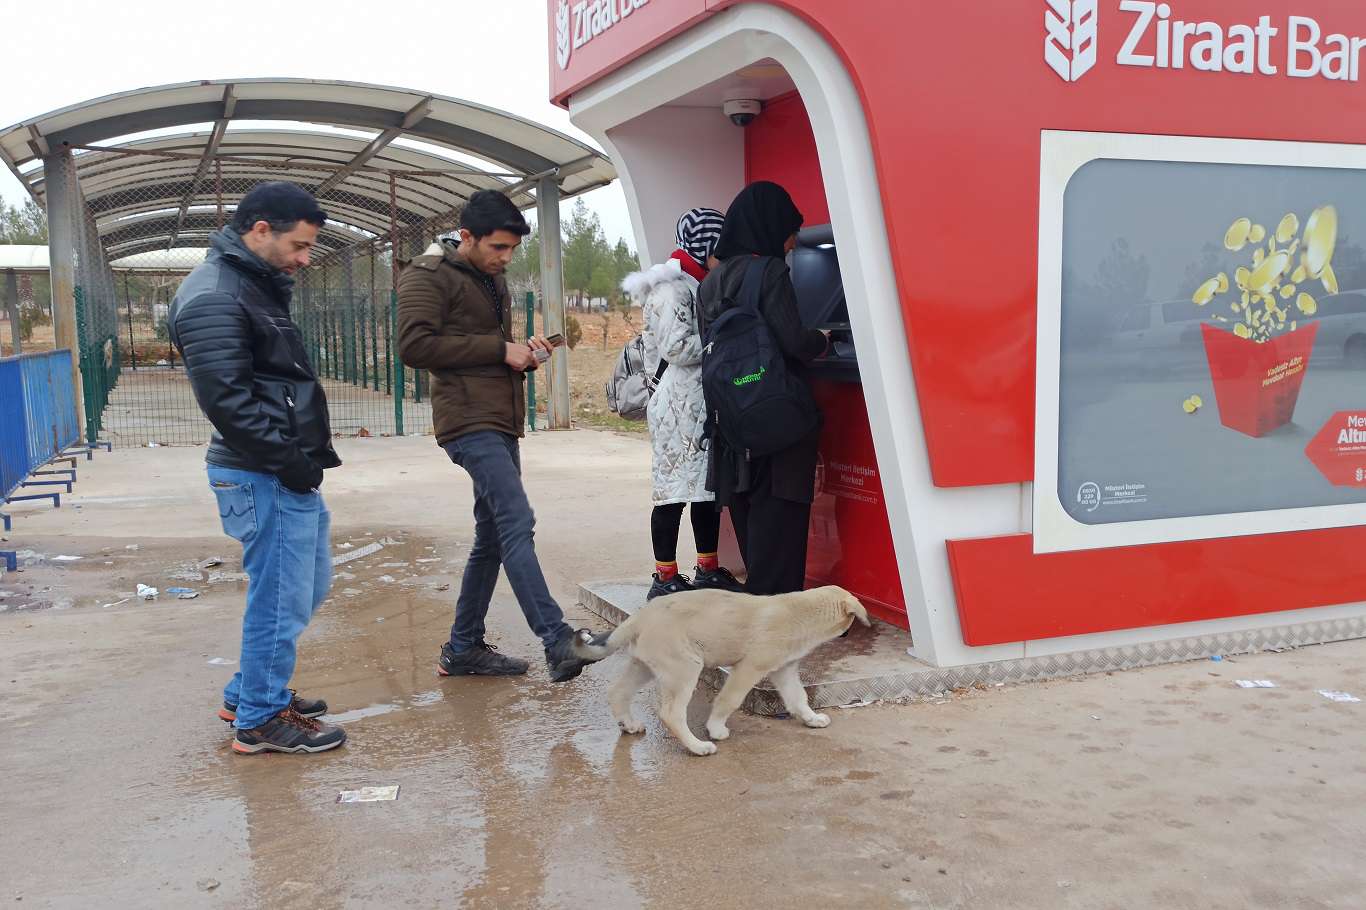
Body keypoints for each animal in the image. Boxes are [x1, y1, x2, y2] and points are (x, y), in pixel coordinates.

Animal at [572, 585, 870, 756]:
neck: (800, 612)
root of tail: (640, 616)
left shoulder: (784, 670)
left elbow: (799, 698)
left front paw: (811, 719)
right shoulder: (748, 668)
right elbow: (729, 700)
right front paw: (715, 728)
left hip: (646, 665)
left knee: (617, 692)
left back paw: (629, 724)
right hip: (684, 668)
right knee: (671, 713)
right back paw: (697, 747)